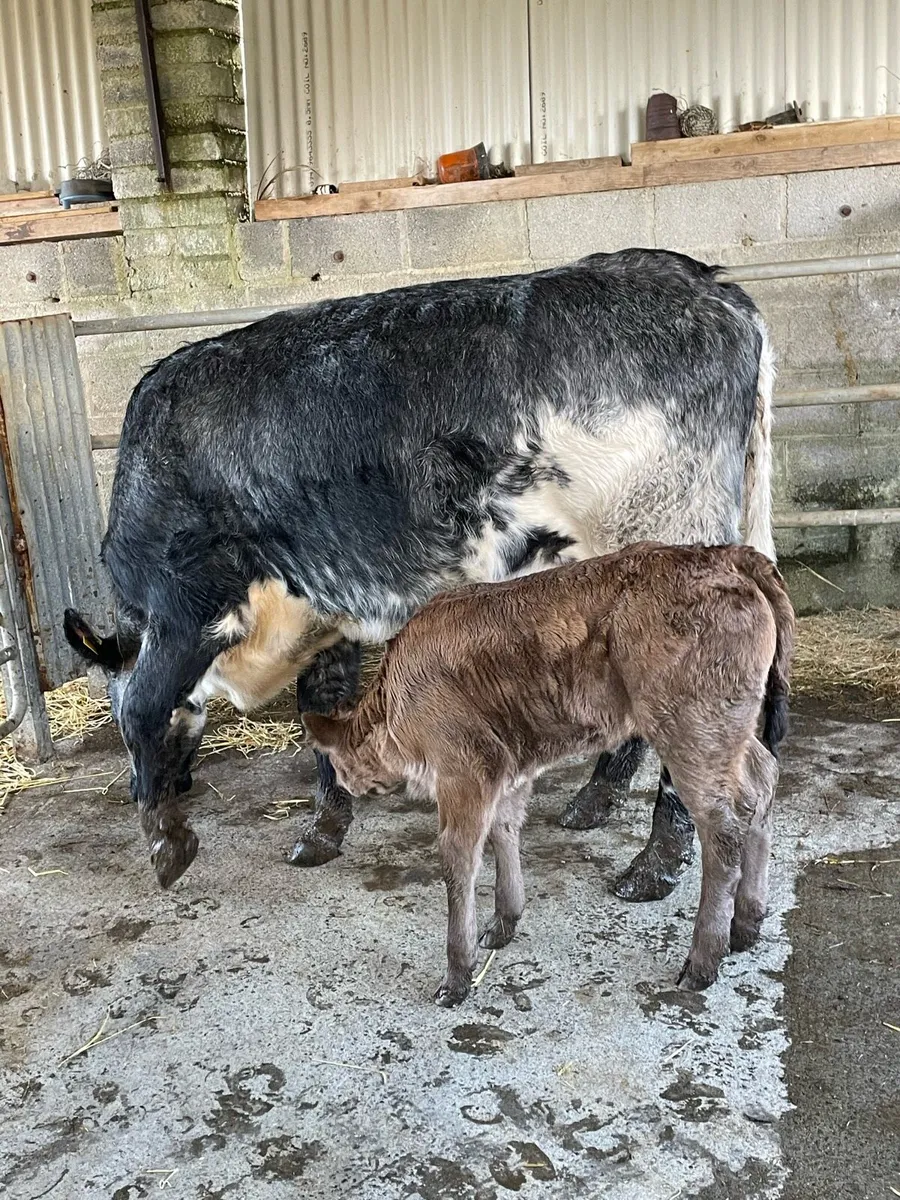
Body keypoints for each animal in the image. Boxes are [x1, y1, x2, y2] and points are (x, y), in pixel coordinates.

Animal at [63, 248, 776, 893]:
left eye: (108, 704)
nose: (166, 784)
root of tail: (708, 286)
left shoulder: (185, 609)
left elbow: (144, 707)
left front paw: (166, 844)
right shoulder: (328, 611)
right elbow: (321, 713)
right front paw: (323, 832)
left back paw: (653, 865)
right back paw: (605, 805)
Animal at [303, 542, 794, 1005]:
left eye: (339, 763)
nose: (348, 783)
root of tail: (725, 555)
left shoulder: (464, 770)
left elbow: (459, 861)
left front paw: (458, 975)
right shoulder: (508, 767)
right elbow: (505, 830)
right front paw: (504, 922)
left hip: (690, 729)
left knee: (723, 829)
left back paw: (703, 960)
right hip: (727, 728)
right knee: (762, 782)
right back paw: (746, 925)